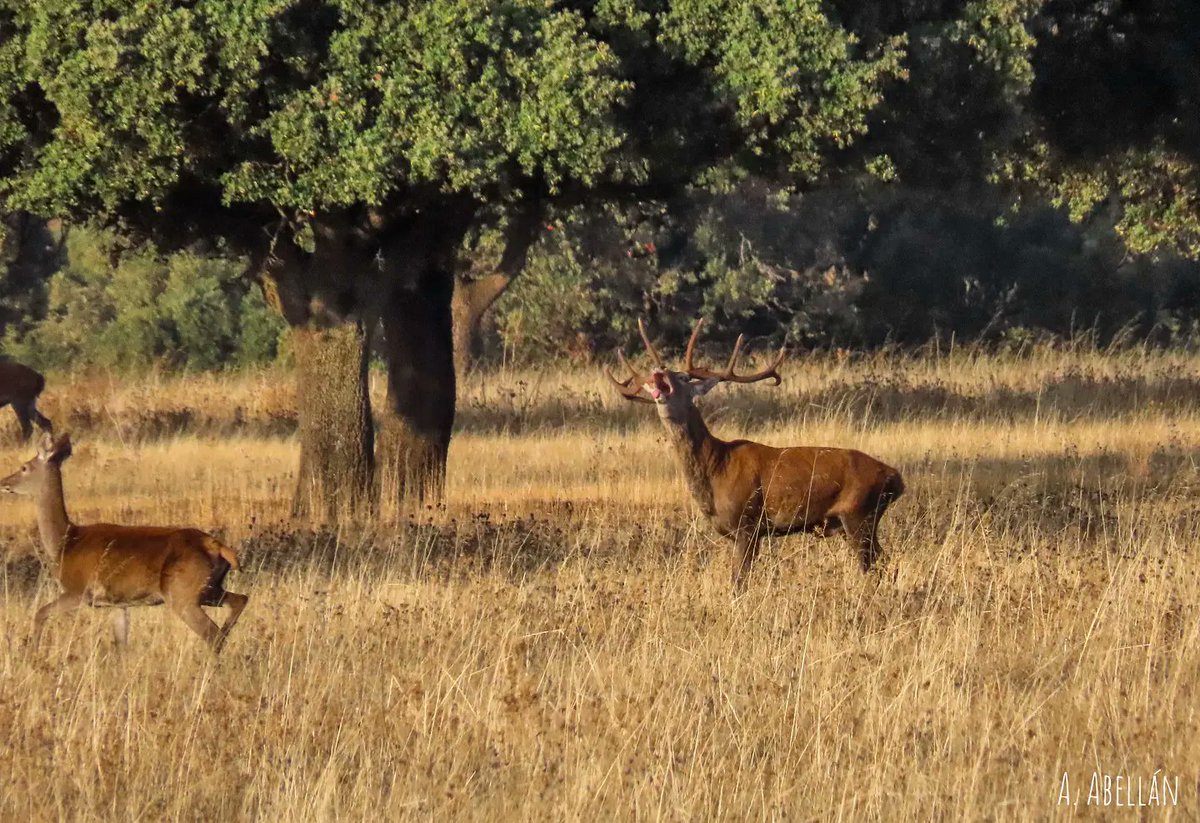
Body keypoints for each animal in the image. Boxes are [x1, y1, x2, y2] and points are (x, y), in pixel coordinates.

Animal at [609, 319, 902, 597]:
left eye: (682, 377)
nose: (659, 371)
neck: (716, 466)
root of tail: (896, 478)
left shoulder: (748, 522)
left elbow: (739, 581)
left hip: (859, 512)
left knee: (880, 563)